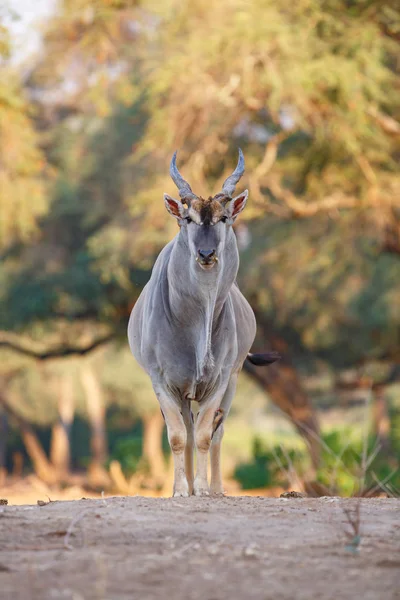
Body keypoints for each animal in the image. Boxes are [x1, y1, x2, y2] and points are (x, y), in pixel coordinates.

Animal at [128, 151, 278, 496]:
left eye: (224, 218)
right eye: (188, 219)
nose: (206, 253)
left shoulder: (220, 380)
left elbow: (206, 435)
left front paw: (203, 488)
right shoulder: (162, 381)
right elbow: (178, 436)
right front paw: (182, 490)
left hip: (234, 379)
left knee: (215, 431)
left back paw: (216, 487)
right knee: (187, 426)